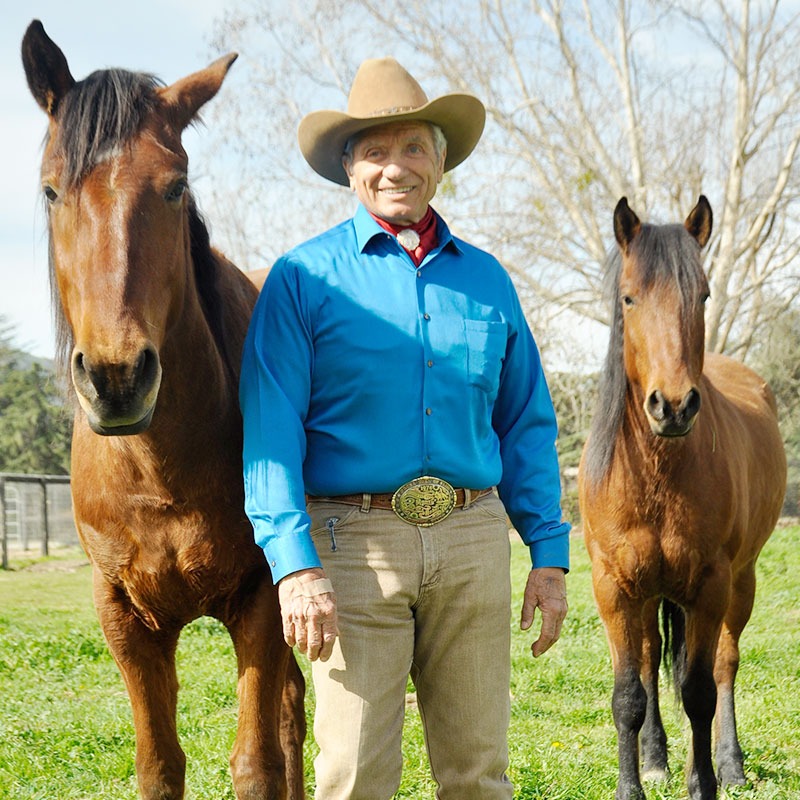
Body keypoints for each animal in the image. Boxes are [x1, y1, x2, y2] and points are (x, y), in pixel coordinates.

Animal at [20, 18, 306, 800]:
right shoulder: (125, 617)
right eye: (51, 190)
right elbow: (158, 764)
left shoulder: (261, 599)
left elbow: (256, 763)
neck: (159, 471)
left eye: (175, 188)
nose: (118, 377)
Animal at [580, 195, 784, 800]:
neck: (658, 474)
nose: (672, 406)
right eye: (629, 297)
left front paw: (705, 782)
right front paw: (634, 784)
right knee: (650, 662)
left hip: (742, 581)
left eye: (704, 295)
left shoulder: (710, 586)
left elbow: (700, 691)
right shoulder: (614, 588)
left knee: (725, 664)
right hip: (648, 594)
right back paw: (655, 758)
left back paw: (731, 763)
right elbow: (629, 694)